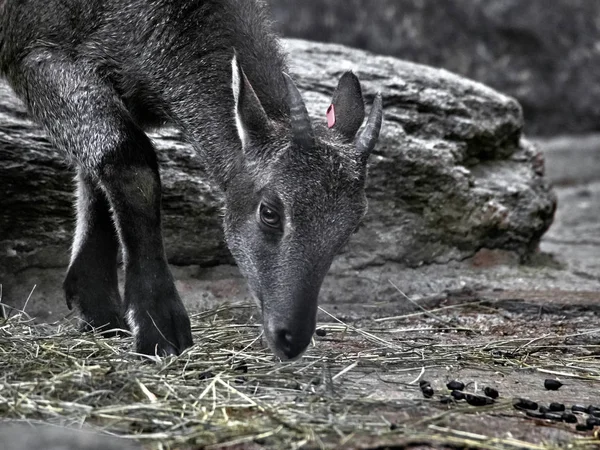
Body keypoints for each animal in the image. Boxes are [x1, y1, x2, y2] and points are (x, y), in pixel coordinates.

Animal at [0, 0, 382, 358]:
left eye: (352, 225)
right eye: (270, 212)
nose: (292, 339)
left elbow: (96, 177)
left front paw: (100, 312)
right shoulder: (36, 55)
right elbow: (127, 158)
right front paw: (159, 327)